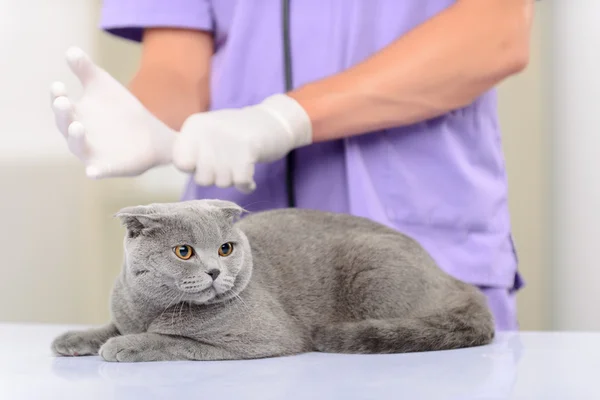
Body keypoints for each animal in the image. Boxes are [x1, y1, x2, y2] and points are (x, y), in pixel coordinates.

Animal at [52, 200, 492, 362]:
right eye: (184, 252)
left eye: (225, 248)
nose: (215, 271)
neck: (154, 308)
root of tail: (452, 279)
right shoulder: (127, 310)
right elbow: (111, 325)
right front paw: (74, 338)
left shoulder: (258, 338)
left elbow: (173, 340)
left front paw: (124, 346)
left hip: (373, 271)